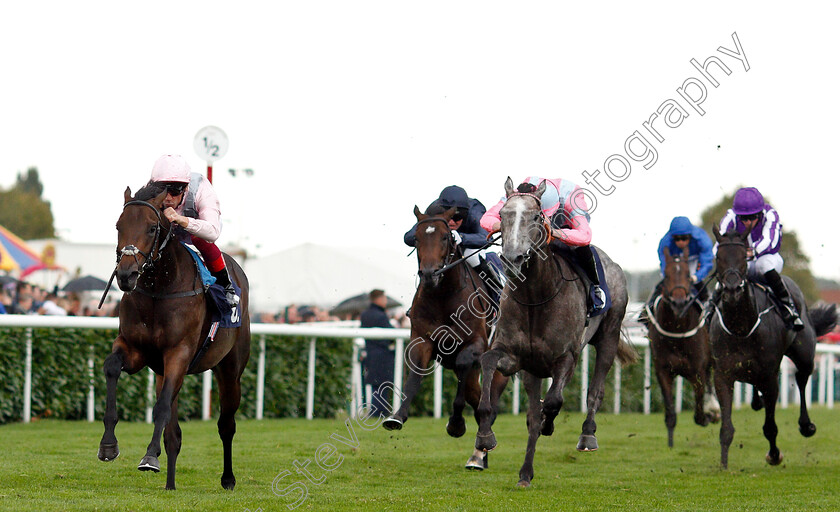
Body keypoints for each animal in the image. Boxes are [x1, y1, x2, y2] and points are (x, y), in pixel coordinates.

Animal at [97, 184, 251, 488]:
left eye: (152, 227)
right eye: (119, 225)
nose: (126, 275)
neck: (160, 290)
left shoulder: (178, 353)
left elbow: (161, 408)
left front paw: (149, 457)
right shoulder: (135, 349)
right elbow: (111, 367)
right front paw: (108, 444)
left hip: (230, 371)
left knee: (226, 425)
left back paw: (228, 478)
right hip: (163, 370)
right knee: (174, 434)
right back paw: (170, 484)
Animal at [384, 206, 508, 470]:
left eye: (445, 237)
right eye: (416, 238)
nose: (429, 274)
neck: (443, 295)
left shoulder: (476, 344)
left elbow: (462, 366)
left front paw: (456, 424)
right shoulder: (422, 340)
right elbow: (415, 375)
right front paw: (397, 416)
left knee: (489, 403)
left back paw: (481, 450)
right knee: (477, 399)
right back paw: (481, 454)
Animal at [472, 180, 636, 488]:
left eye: (537, 217)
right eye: (502, 215)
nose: (513, 259)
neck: (535, 297)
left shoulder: (566, 358)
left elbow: (553, 402)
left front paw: (550, 423)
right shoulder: (514, 357)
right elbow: (488, 365)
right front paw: (485, 436)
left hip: (608, 334)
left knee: (595, 390)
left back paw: (587, 435)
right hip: (533, 369)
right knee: (532, 415)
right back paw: (525, 473)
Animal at [648, 246, 720, 446]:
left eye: (688, 275)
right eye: (666, 276)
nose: (679, 303)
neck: (677, 332)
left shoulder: (697, 371)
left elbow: (699, 412)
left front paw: (709, 414)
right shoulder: (663, 371)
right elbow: (670, 414)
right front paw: (670, 445)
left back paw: (714, 409)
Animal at [712, 224, 836, 468]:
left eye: (743, 257)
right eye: (718, 257)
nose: (731, 290)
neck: (741, 327)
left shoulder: (770, 376)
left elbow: (770, 426)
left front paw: (774, 454)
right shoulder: (722, 374)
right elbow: (726, 428)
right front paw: (723, 464)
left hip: (804, 354)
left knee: (801, 379)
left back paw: (806, 425)